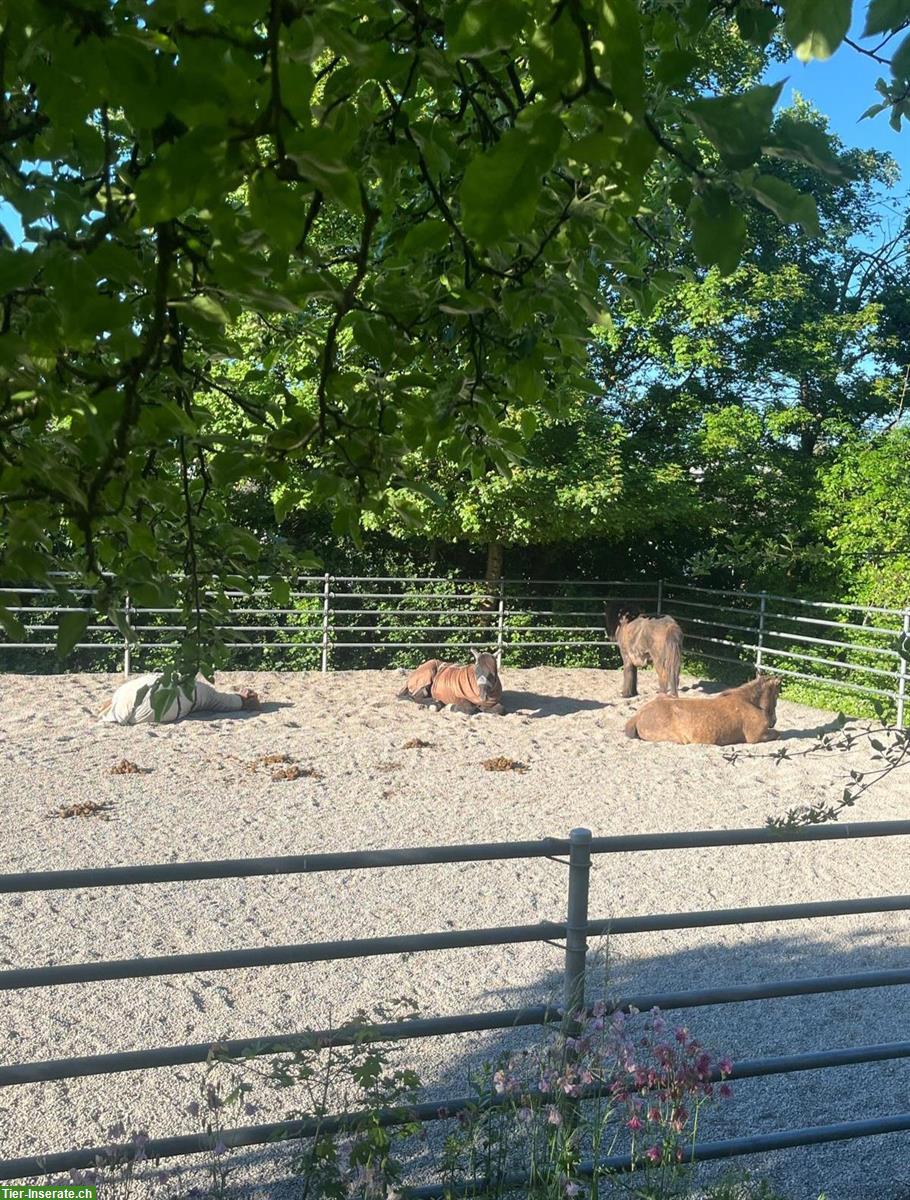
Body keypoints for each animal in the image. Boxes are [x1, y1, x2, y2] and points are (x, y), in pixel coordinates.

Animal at [629, 676, 782, 739]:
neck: (748, 701)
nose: (774, 721)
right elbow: (778, 734)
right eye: (776, 694)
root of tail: (639, 715)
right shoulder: (756, 736)